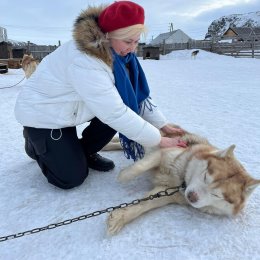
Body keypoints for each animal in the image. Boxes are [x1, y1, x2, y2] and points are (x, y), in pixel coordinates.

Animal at [106, 128, 260, 236]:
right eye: (205, 177)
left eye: (217, 195)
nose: (192, 196)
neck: (181, 180)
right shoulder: (163, 153)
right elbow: (140, 167)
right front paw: (124, 175)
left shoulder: (166, 193)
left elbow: (143, 205)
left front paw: (120, 218)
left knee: (119, 144)